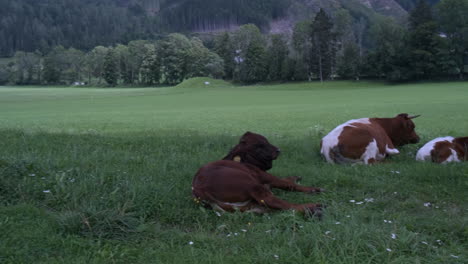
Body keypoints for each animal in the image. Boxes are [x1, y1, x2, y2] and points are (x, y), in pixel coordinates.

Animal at [192, 132, 324, 217]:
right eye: (260, 145)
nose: (278, 150)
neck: (243, 160)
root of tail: (199, 189)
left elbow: (286, 180)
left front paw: (295, 177)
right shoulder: (265, 176)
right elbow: (287, 184)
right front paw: (312, 189)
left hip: (247, 203)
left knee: (267, 207)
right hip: (252, 185)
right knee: (276, 201)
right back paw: (313, 207)